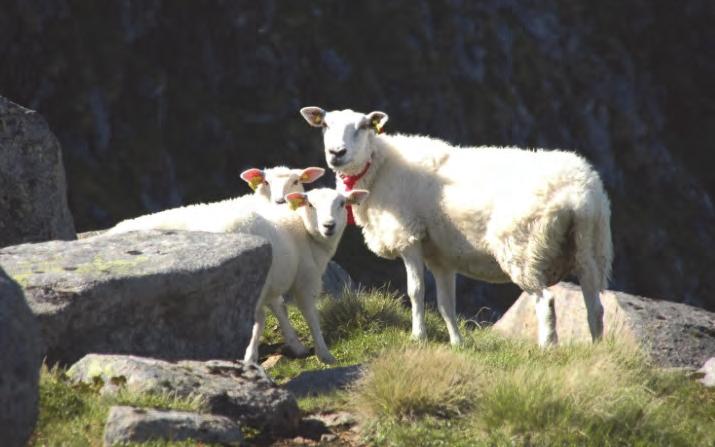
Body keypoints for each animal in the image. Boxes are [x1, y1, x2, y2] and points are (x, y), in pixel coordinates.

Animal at [107, 182, 374, 364]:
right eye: (311, 204)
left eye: (342, 204)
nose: (329, 226)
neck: (298, 227)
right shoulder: (304, 279)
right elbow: (309, 316)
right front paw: (324, 353)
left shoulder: (273, 280)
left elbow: (278, 308)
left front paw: (295, 344)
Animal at [300, 107, 612, 348]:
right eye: (325, 125)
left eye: (363, 126)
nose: (336, 153)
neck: (379, 169)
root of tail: (578, 194)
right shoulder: (440, 256)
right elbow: (445, 303)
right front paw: (457, 343)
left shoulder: (408, 236)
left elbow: (415, 291)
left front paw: (418, 337)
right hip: (590, 246)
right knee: (595, 307)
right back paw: (598, 354)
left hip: (524, 248)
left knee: (545, 301)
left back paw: (547, 348)